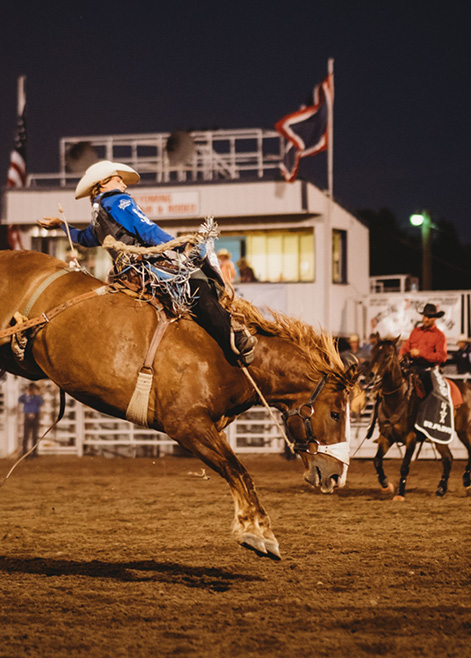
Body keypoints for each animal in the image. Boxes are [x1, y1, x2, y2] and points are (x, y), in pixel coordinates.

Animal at [0, 249, 358, 556]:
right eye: (336, 413)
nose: (337, 477)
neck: (230, 353)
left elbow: (236, 471)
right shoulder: (187, 425)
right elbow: (238, 471)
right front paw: (258, 534)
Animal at [368, 338, 471, 498]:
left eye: (387, 354)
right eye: (372, 352)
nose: (373, 376)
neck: (398, 399)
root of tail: (467, 387)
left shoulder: (411, 438)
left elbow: (404, 466)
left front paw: (400, 493)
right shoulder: (386, 437)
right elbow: (377, 461)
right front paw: (386, 484)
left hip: (463, 430)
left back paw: (466, 481)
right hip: (440, 437)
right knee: (448, 458)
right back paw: (441, 489)